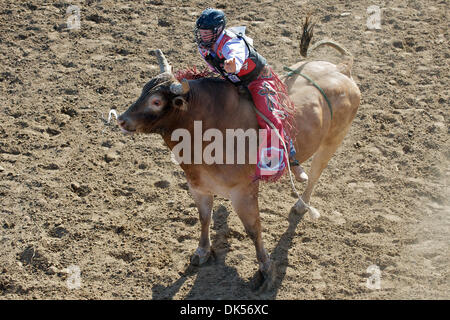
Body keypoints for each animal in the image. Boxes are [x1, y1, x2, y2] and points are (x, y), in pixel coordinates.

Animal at [115, 20, 358, 290]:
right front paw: (202, 252)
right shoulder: (198, 187)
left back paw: (301, 203)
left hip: (332, 142)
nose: (122, 120)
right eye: (143, 91)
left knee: (316, 175)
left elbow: (254, 229)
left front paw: (265, 268)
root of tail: (341, 69)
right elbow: (204, 218)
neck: (207, 132)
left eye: (157, 101)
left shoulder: (243, 192)